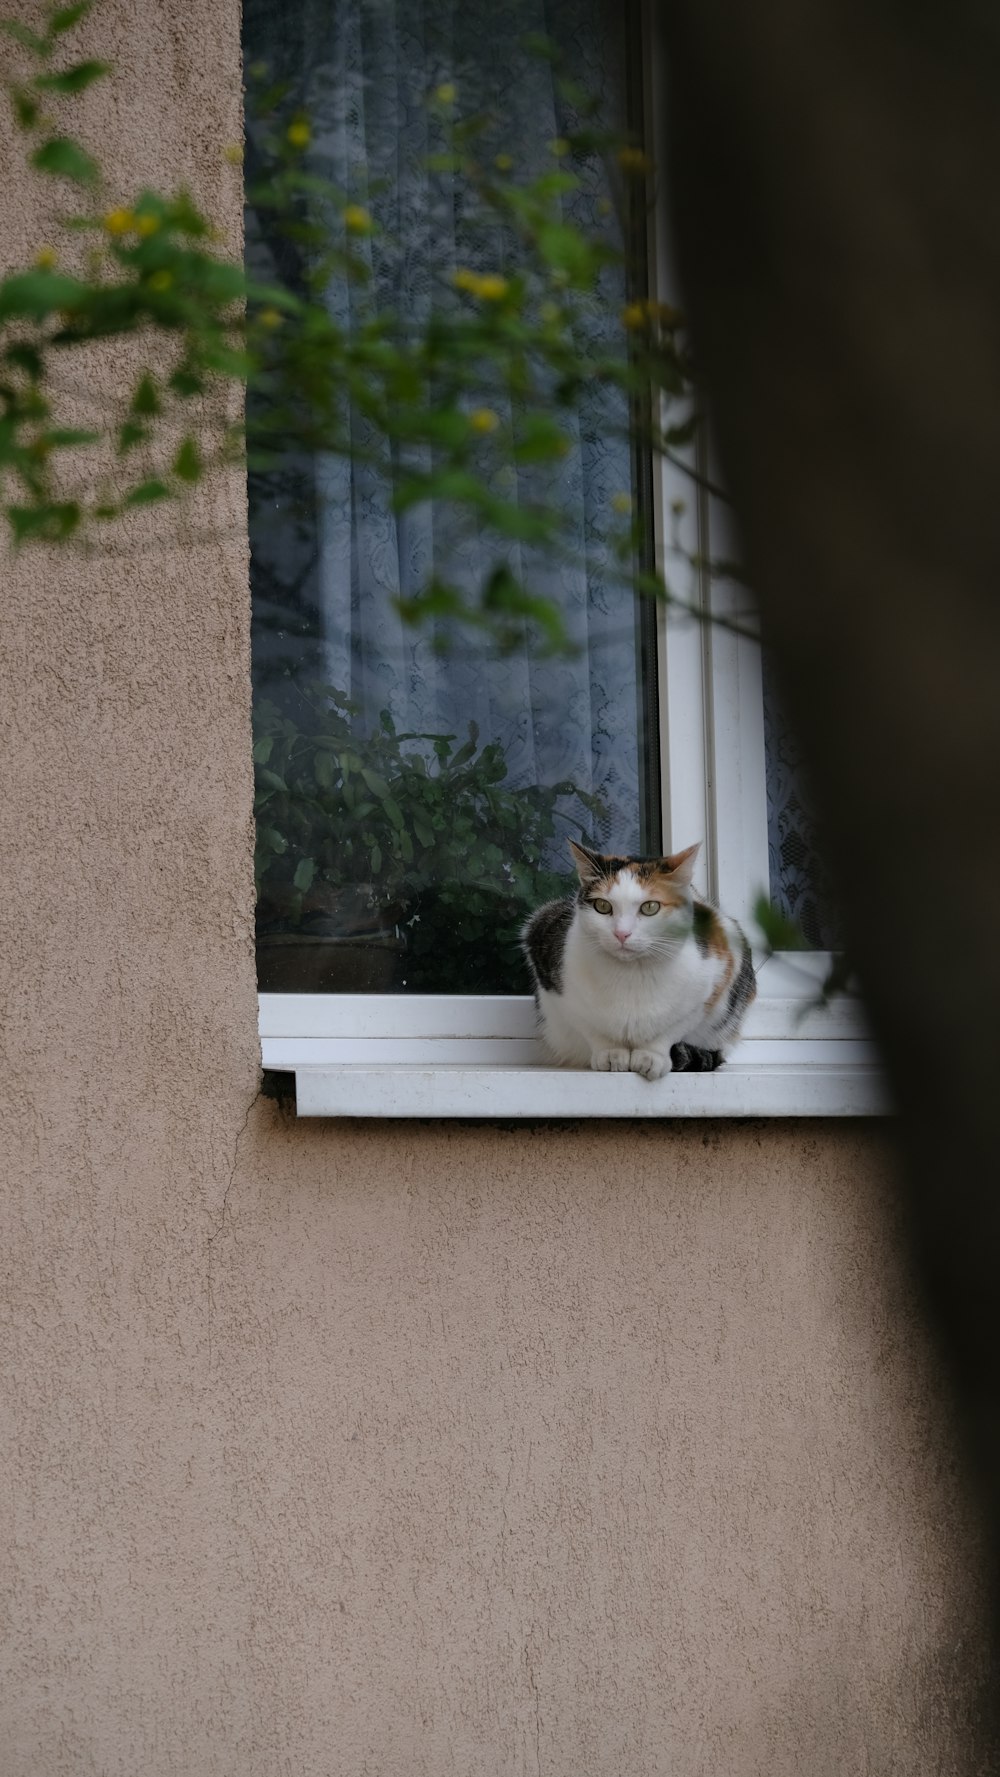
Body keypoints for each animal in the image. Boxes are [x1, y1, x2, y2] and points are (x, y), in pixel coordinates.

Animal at [529, 838, 756, 1073]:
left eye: (650, 907)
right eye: (602, 906)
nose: (621, 933)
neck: (632, 974)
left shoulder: (715, 979)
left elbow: (672, 1028)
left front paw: (651, 1056)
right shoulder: (557, 987)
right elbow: (590, 1027)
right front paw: (610, 1053)